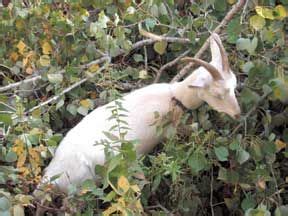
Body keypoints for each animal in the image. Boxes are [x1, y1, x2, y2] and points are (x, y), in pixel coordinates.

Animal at [38, 33, 241, 192]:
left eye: (234, 85)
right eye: (217, 94)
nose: (237, 114)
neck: (174, 97)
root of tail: (49, 178)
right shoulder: (167, 134)